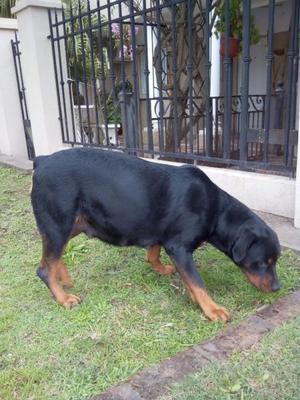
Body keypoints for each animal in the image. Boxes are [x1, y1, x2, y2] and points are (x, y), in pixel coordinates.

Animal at [31, 148, 280, 322]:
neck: (216, 211)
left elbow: (153, 253)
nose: (277, 288)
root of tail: (42, 160)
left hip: (73, 224)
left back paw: (63, 278)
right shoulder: (180, 248)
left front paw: (162, 270)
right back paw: (63, 297)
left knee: (52, 255)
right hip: (59, 223)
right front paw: (212, 309)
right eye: (262, 263)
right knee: (44, 267)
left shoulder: (163, 233)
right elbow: (197, 281)